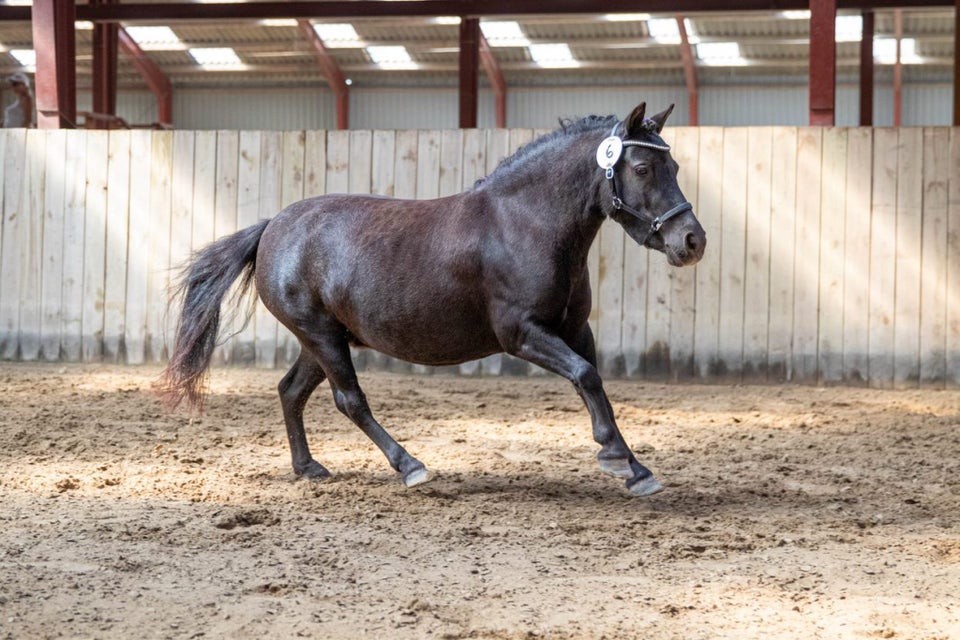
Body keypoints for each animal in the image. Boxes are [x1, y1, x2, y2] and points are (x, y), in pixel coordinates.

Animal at [161, 104, 704, 496]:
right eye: (642, 167)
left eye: (675, 164)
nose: (693, 241)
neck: (525, 223)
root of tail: (273, 225)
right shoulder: (523, 334)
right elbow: (587, 377)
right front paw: (618, 461)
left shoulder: (574, 330)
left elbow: (596, 384)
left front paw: (634, 466)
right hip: (320, 336)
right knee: (349, 400)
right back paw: (410, 467)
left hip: (324, 339)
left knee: (291, 391)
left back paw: (309, 467)